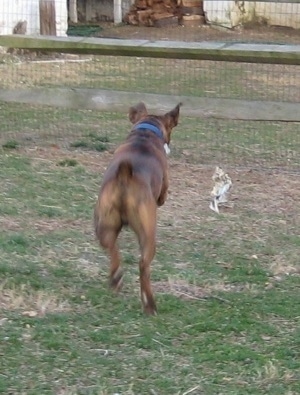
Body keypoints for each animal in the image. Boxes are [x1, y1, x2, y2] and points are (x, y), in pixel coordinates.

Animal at [95, 102, 182, 316]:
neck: (145, 132)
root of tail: (125, 175)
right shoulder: (163, 190)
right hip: (148, 233)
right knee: (143, 265)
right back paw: (149, 304)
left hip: (103, 223)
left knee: (111, 247)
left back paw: (116, 278)